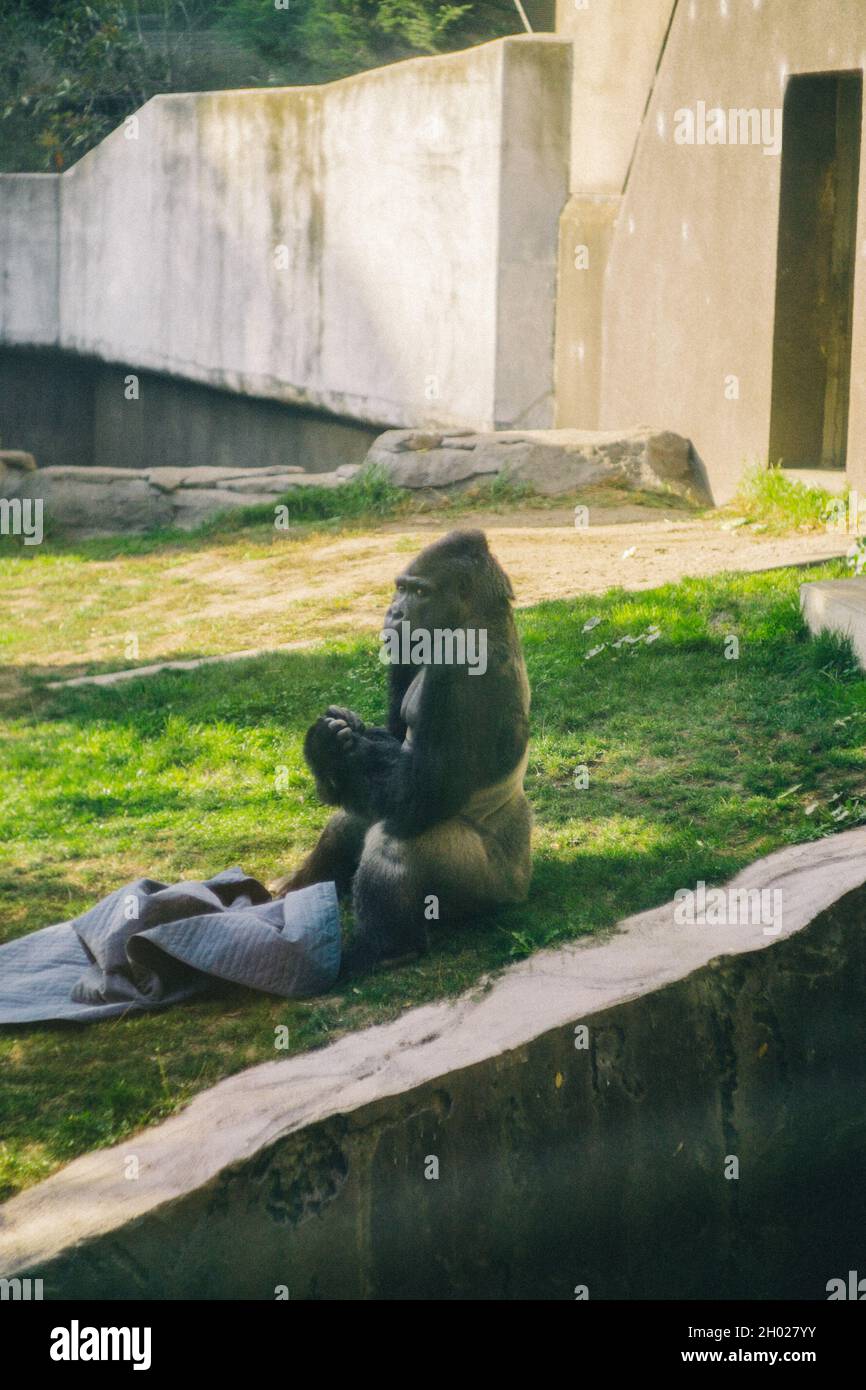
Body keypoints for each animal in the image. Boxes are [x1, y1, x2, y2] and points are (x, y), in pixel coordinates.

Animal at [273, 529, 532, 972]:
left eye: (419, 591)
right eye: (400, 588)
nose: (394, 613)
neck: (479, 620)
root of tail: (523, 882)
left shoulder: (458, 668)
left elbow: (422, 795)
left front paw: (329, 748)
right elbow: (392, 759)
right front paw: (337, 743)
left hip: (491, 887)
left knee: (394, 840)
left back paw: (386, 949)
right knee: (360, 812)